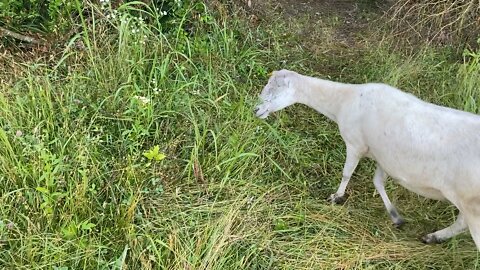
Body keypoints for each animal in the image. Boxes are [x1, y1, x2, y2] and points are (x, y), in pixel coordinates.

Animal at [255, 69, 480, 249]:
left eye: (275, 90)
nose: (256, 110)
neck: (342, 101)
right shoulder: (384, 157)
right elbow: (377, 182)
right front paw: (395, 217)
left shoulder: (355, 143)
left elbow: (347, 173)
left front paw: (336, 197)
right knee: (460, 223)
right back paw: (433, 237)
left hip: (472, 205)